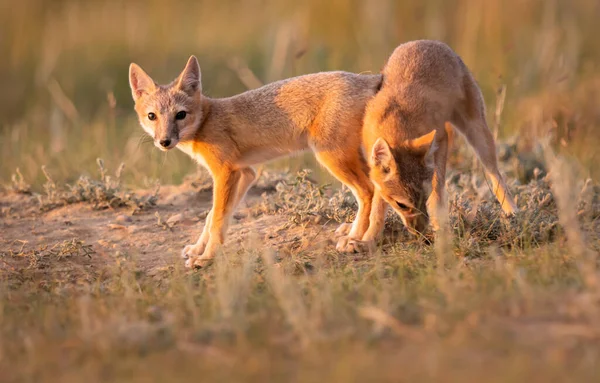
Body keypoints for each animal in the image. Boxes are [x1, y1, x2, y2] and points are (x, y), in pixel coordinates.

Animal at [129, 57, 382, 268]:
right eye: (152, 116)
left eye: (180, 115)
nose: (164, 141)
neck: (206, 120)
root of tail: (363, 76)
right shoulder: (245, 172)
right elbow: (213, 217)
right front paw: (198, 249)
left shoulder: (224, 173)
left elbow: (217, 219)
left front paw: (206, 258)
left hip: (331, 157)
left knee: (368, 191)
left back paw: (356, 238)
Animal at [340, 40, 516, 254]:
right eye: (401, 205)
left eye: (423, 198)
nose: (421, 233)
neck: (398, 121)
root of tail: (427, 42)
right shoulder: (377, 175)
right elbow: (377, 211)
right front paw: (367, 241)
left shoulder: (441, 141)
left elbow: (437, 195)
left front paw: (442, 232)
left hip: (478, 135)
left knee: (496, 177)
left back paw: (514, 215)